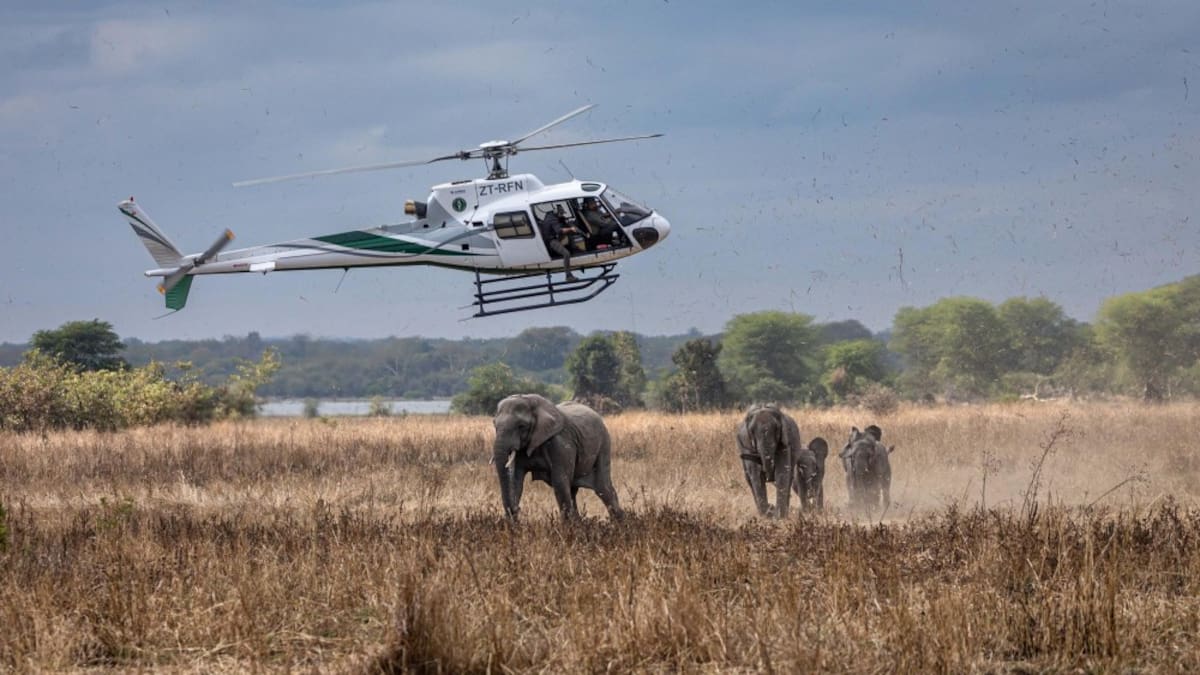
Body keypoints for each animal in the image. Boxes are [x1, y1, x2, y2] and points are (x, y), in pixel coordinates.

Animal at [491, 394, 624, 522]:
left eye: (521, 426)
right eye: (494, 425)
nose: (517, 509)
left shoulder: (560, 443)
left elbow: (559, 481)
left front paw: (567, 526)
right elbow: (515, 480)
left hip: (604, 444)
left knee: (603, 488)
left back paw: (619, 522)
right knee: (573, 490)